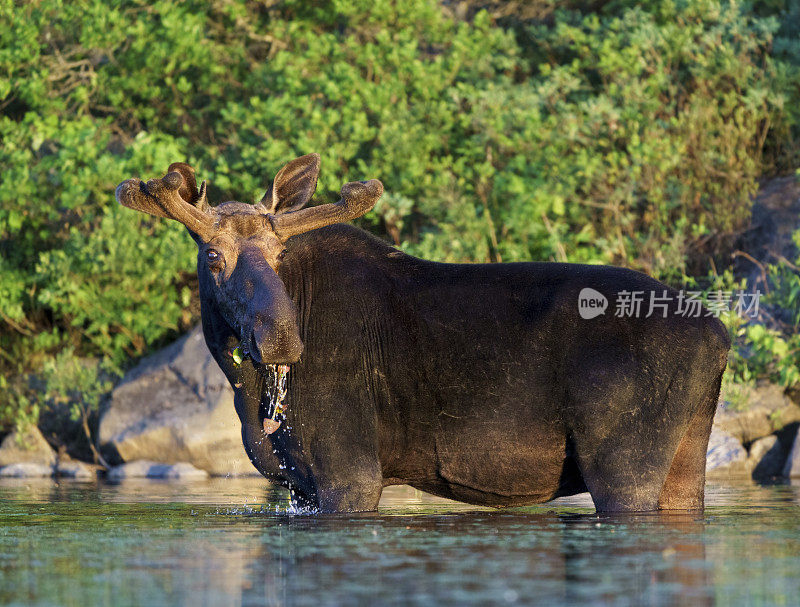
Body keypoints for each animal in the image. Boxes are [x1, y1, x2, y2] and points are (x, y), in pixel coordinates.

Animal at [117, 156, 732, 512]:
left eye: (279, 253)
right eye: (212, 255)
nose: (283, 340)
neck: (244, 387)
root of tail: (721, 337)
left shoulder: (348, 471)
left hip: (623, 461)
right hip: (686, 457)